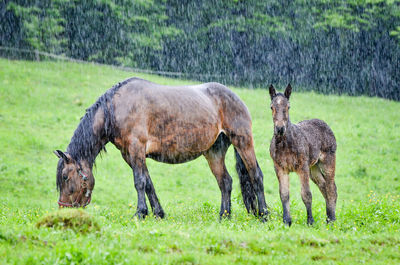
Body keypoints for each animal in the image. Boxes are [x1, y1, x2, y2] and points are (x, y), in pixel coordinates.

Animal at [53, 76, 268, 219]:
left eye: (65, 177)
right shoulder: (130, 155)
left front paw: (139, 213)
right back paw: (224, 216)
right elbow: (148, 183)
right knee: (225, 182)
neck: (115, 108)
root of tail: (235, 96)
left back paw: (264, 214)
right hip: (214, 152)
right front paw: (158, 213)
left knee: (256, 175)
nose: (63, 210)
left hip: (243, 142)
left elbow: (139, 182)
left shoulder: (136, 149)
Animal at [268, 83, 338, 224]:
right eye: (272, 107)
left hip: (327, 162)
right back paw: (328, 217)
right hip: (314, 168)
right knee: (323, 186)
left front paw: (310, 221)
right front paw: (287, 221)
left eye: (288, 106)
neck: (285, 144)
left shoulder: (302, 167)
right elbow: (284, 194)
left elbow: (306, 194)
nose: (280, 129)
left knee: (331, 188)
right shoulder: (280, 168)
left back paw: (332, 219)